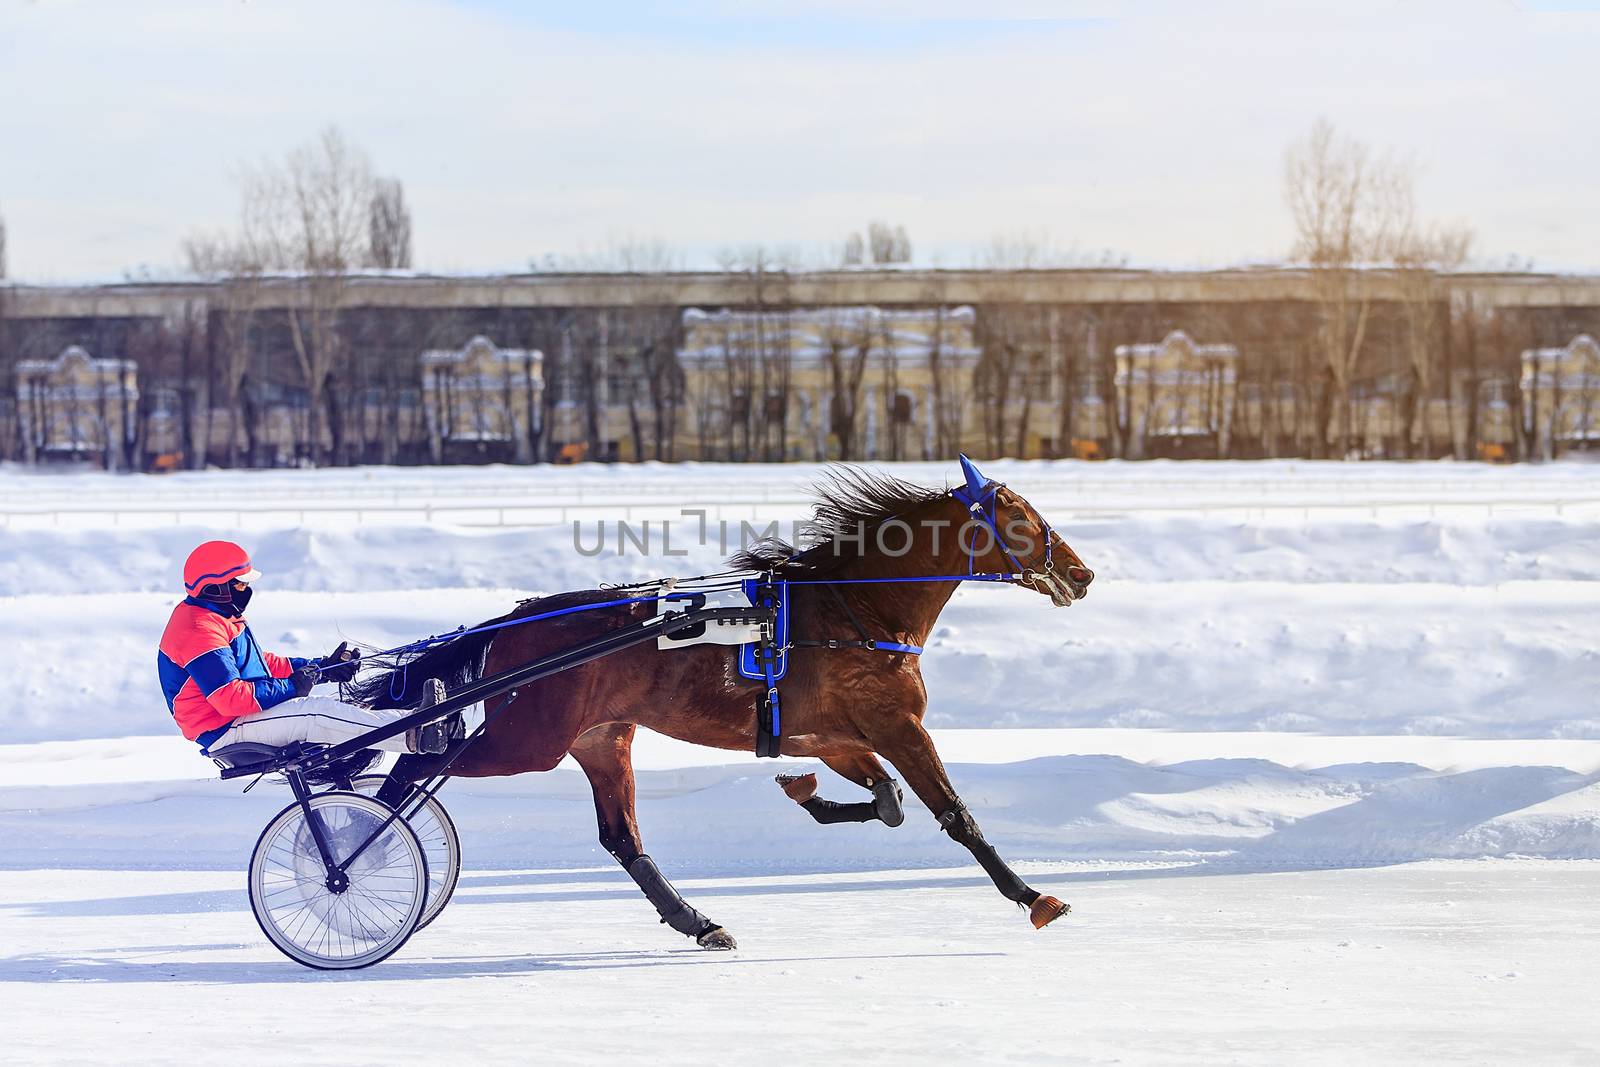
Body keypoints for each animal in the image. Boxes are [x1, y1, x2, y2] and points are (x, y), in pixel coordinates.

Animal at [355, 460, 1094, 953]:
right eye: (1022, 519)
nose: (1081, 573)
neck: (854, 611)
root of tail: (516, 618)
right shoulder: (897, 724)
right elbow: (953, 814)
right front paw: (1034, 897)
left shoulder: (832, 734)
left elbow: (886, 802)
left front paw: (805, 793)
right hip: (527, 739)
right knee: (408, 770)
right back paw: (354, 852)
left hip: (601, 737)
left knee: (623, 837)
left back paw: (699, 921)